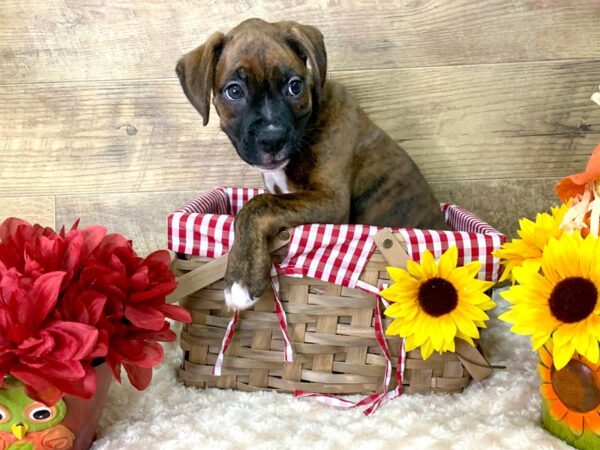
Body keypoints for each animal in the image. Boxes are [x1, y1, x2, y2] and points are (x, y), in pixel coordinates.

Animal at [176, 15, 448, 308]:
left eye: (294, 86)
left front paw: (241, 278)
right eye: (234, 91)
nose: (272, 139)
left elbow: (257, 205)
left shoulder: (331, 201)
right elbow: (266, 201)